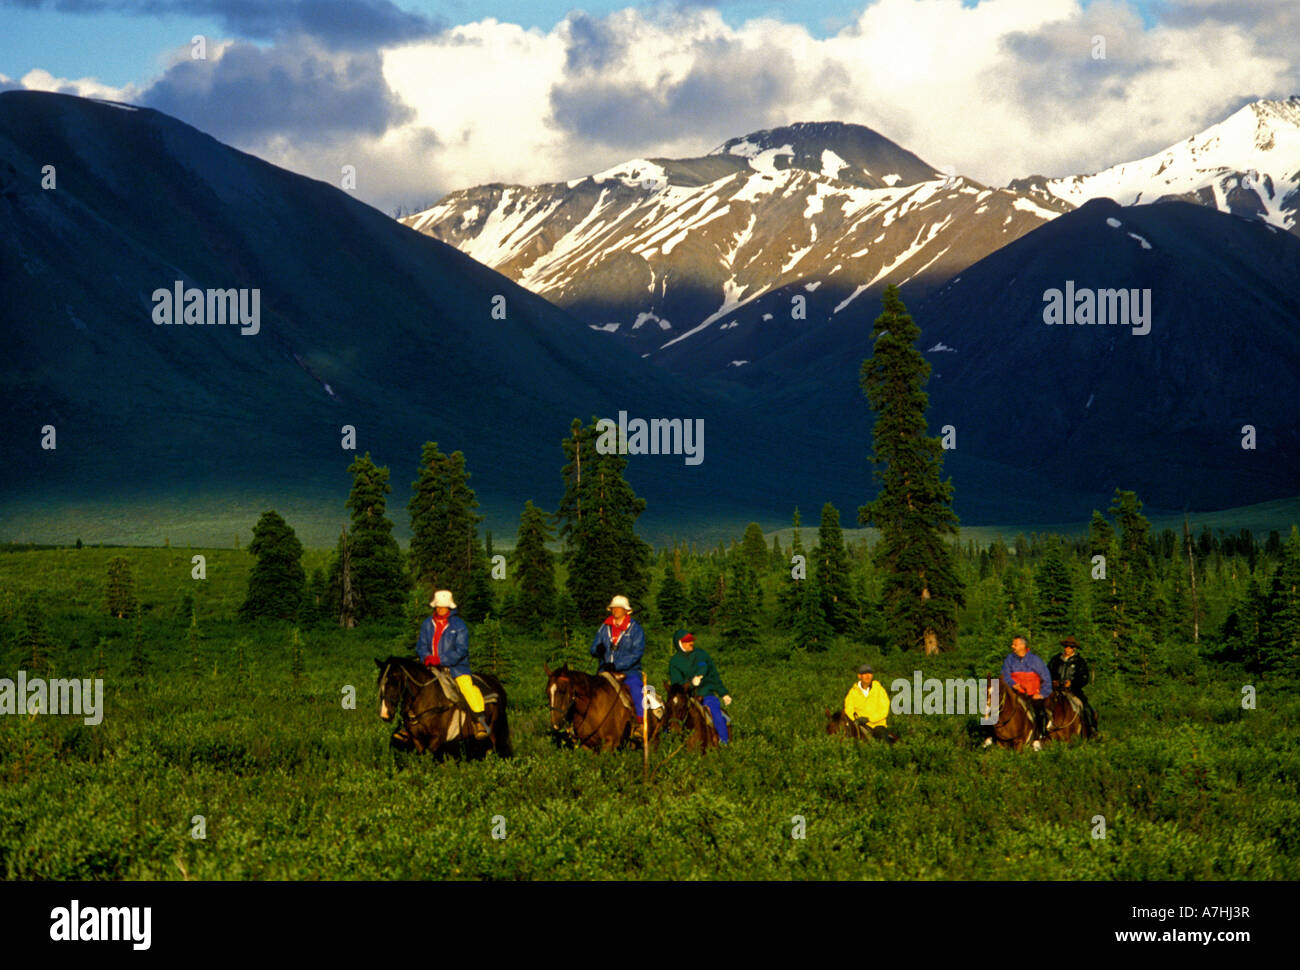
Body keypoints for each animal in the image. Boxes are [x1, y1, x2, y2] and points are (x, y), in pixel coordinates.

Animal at [374, 657, 509, 754]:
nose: (385, 714)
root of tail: (495, 681)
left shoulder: (436, 739)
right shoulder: (417, 739)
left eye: (394, 681)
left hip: (494, 730)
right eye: (380, 681)